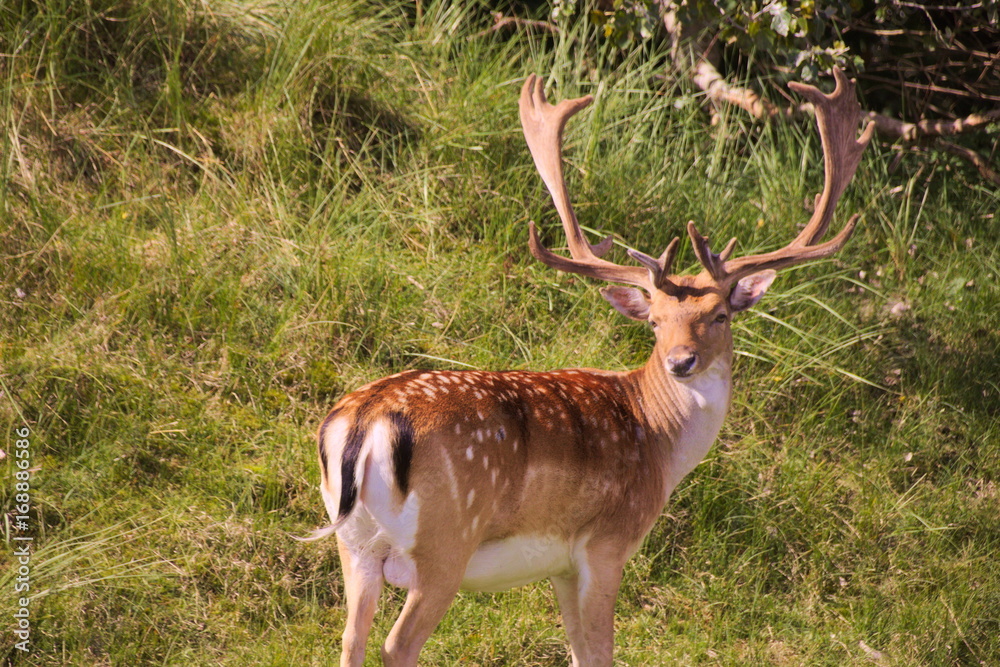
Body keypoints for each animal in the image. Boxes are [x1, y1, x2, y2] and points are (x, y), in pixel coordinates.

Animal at [306, 68, 874, 666]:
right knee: (396, 643)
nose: (681, 361)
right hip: (445, 540)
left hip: (354, 546)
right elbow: (601, 653)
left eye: (718, 315)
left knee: (349, 637)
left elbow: (577, 651)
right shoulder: (606, 544)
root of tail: (362, 422)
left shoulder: (558, 566)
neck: (658, 442)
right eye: (656, 321)